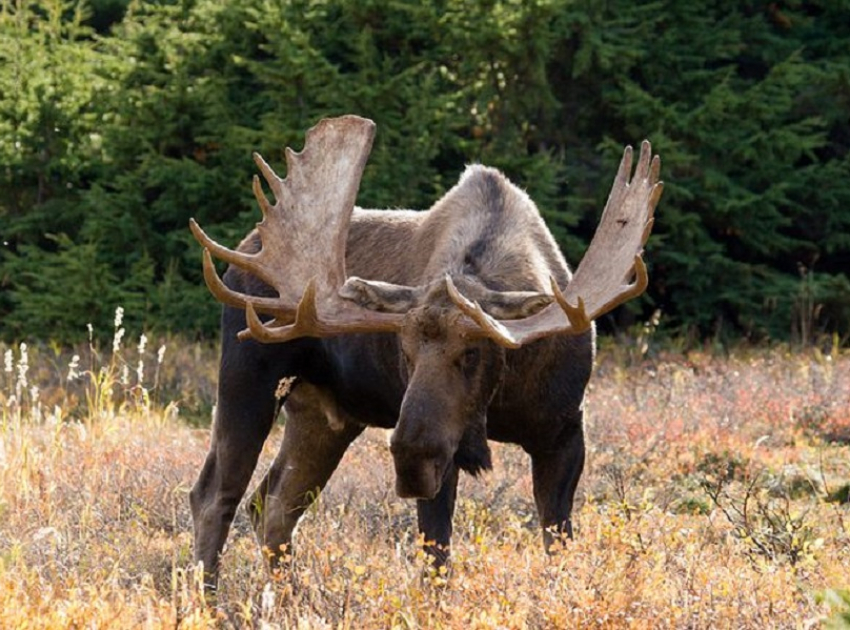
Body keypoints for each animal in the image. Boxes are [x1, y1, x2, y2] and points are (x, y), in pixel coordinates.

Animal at [189, 116, 660, 592]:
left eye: (472, 352)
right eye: (405, 352)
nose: (411, 458)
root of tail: (243, 253)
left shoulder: (564, 432)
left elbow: (556, 544)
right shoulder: (447, 453)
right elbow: (437, 559)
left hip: (323, 415)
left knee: (272, 502)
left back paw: (289, 596)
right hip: (249, 375)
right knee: (214, 494)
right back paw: (210, 599)